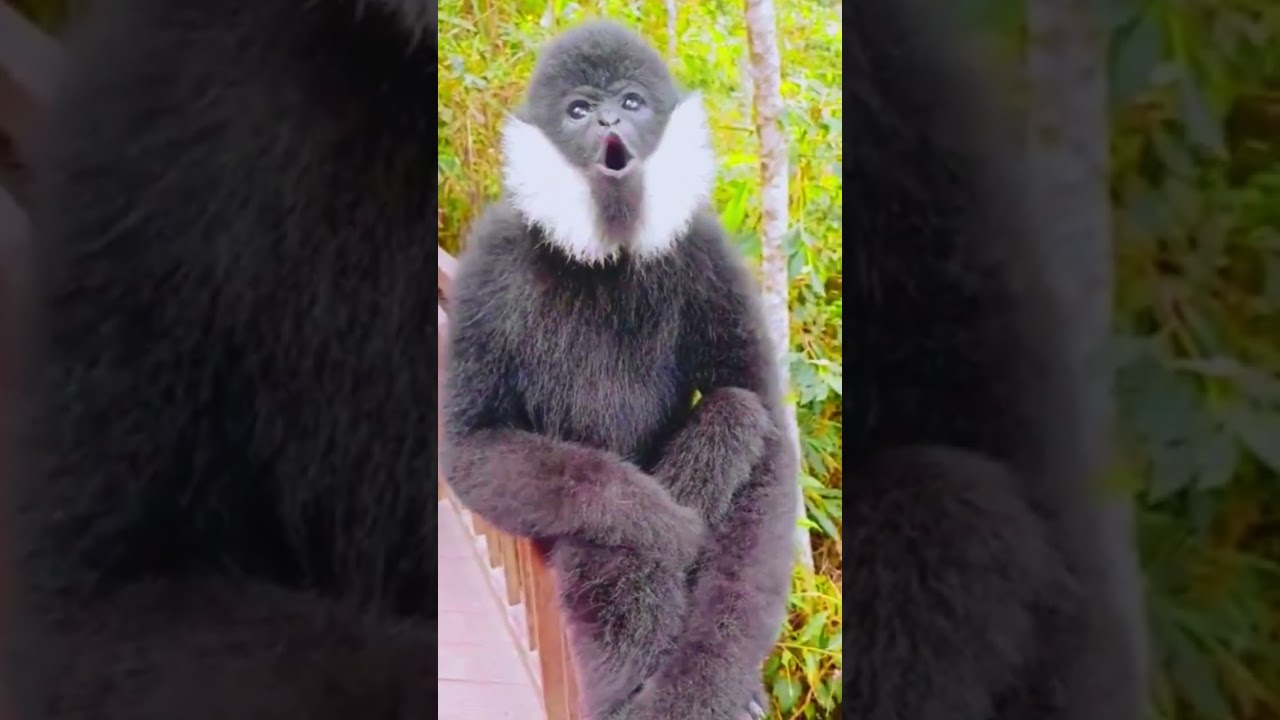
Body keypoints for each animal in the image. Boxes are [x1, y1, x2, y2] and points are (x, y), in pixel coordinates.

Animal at [440, 21, 797, 720]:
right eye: (580, 110)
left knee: (736, 409)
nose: (608, 121)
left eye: (630, 102)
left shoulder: (706, 248)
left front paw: (705, 685)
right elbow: (469, 445)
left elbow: (765, 423)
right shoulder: (490, 259)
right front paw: (664, 521)